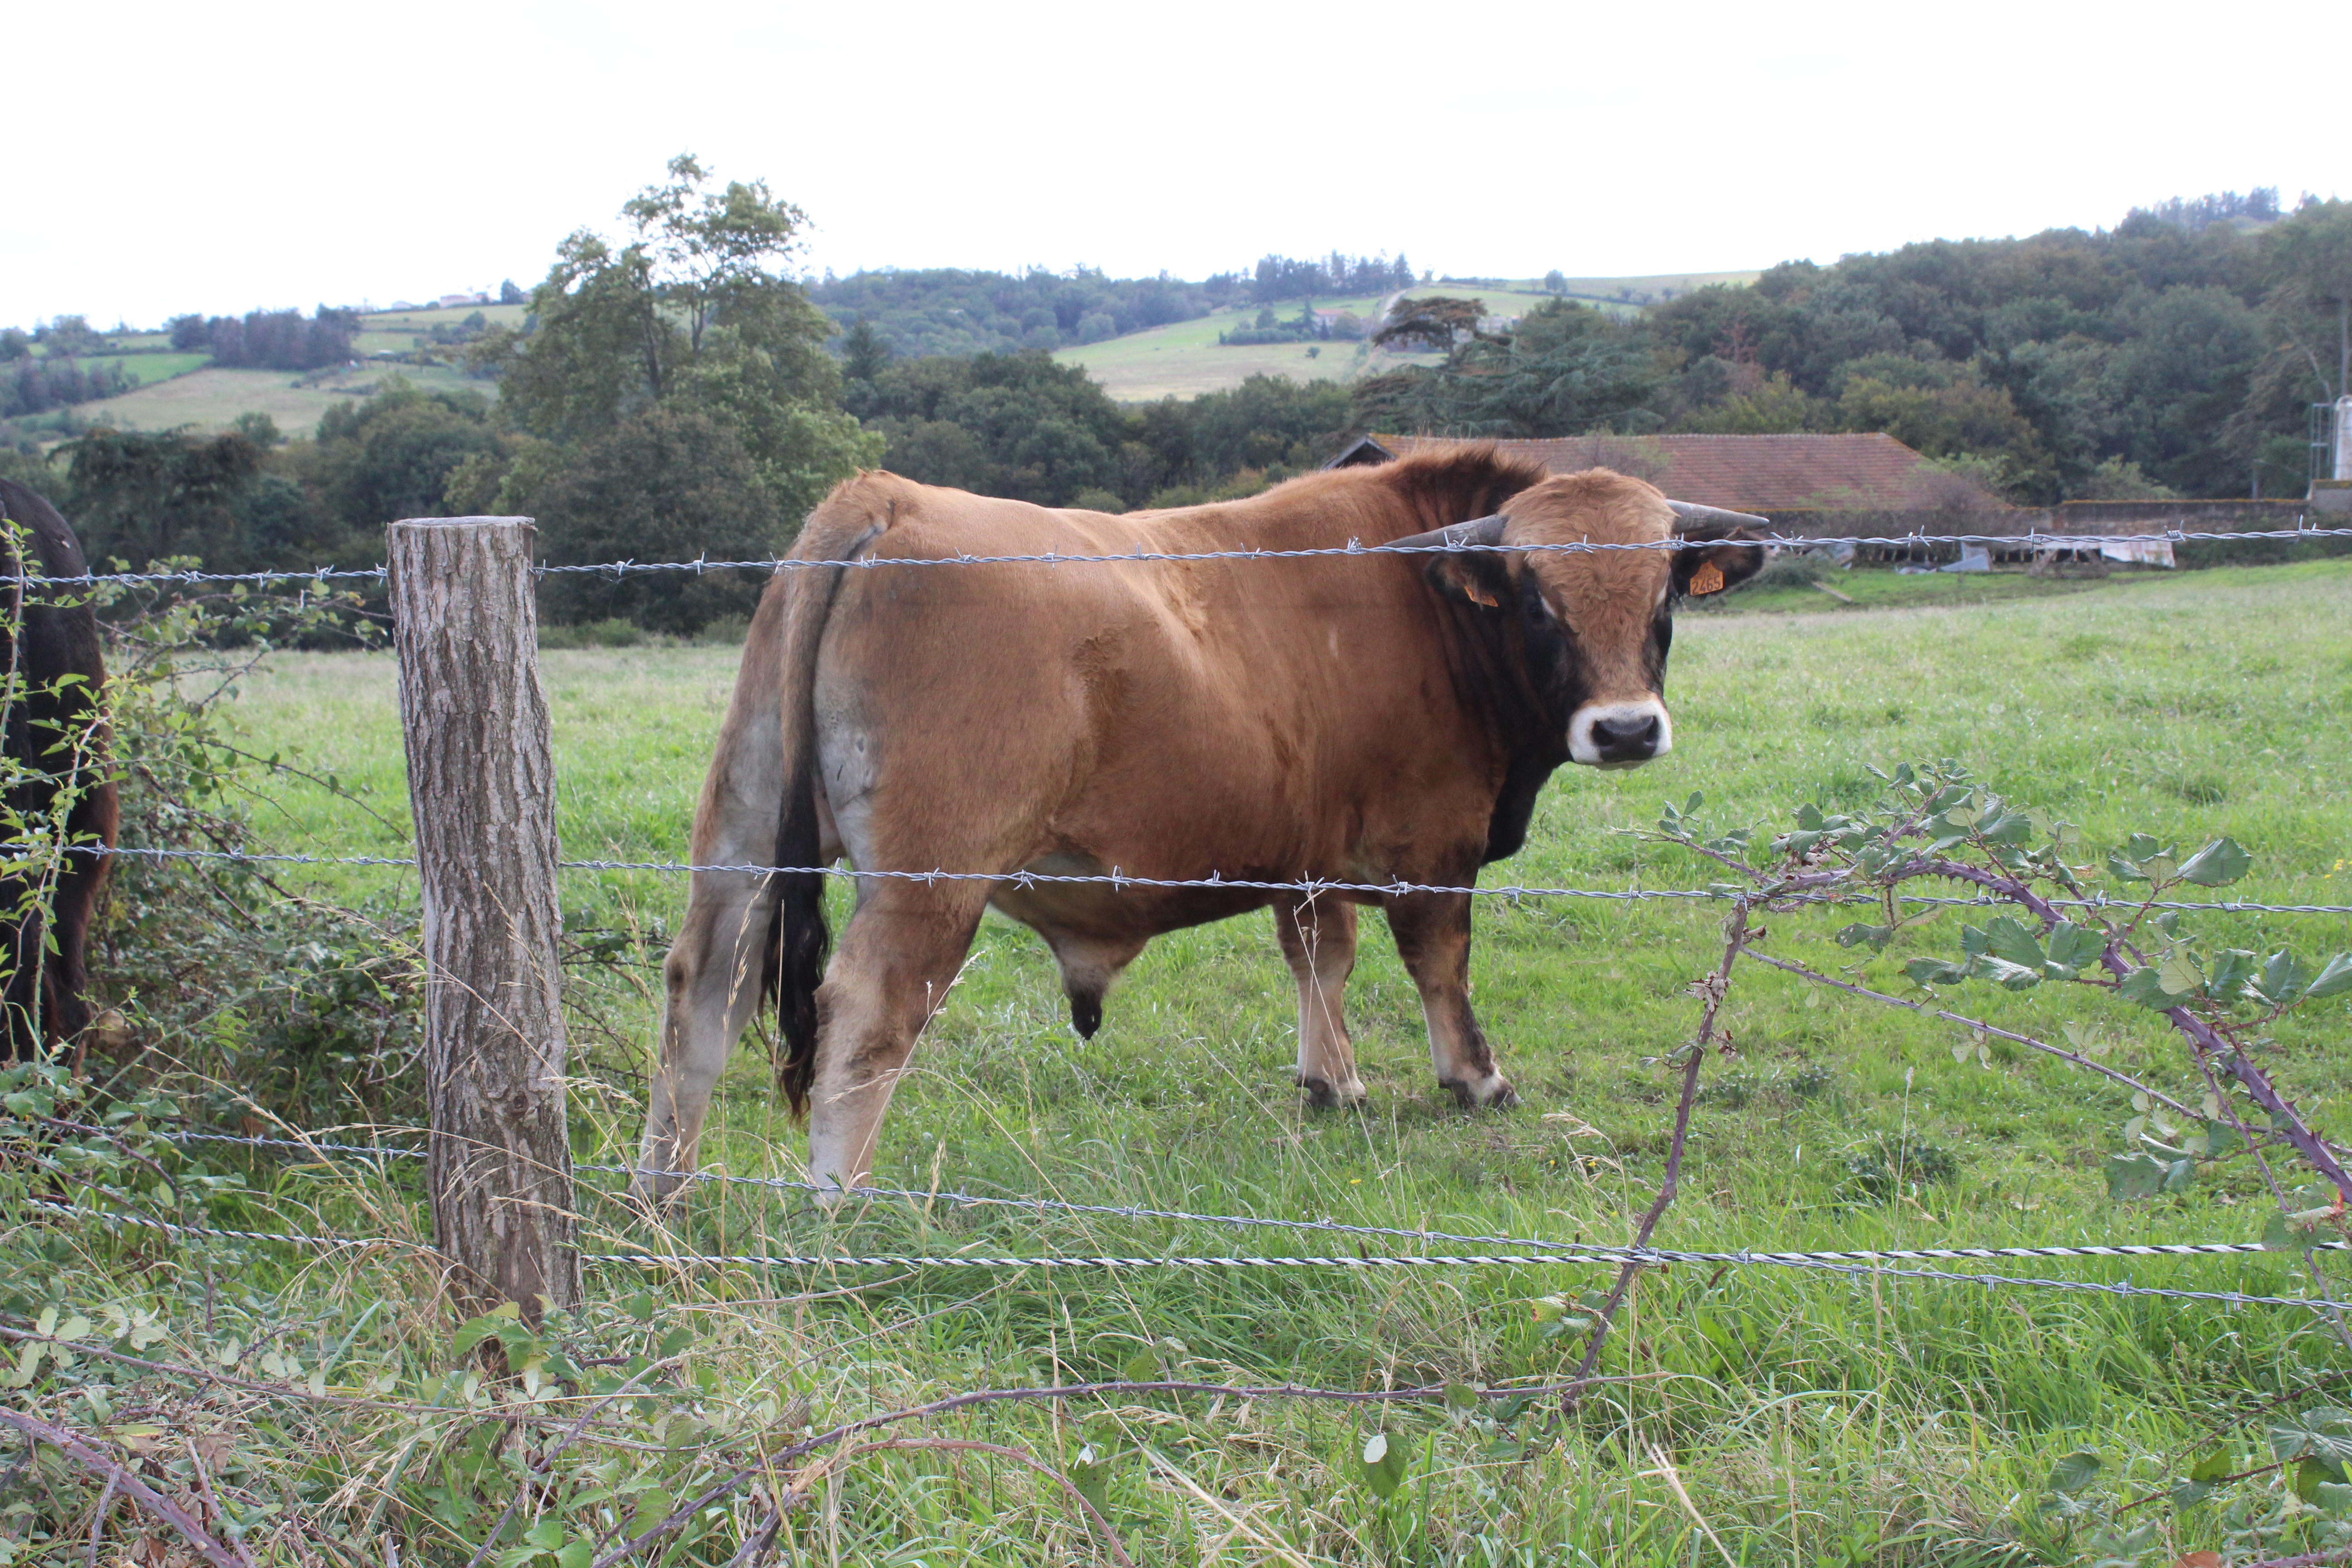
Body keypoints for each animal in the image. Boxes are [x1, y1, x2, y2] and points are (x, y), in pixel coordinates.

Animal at [635, 446, 1759, 1213]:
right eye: (1537, 602)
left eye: (1663, 593)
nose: (1626, 729)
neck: (1421, 598)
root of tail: (885, 498)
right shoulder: (1432, 847)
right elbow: (1439, 964)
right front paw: (1475, 1078)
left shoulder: (1310, 857)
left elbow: (1320, 958)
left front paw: (1329, 1079)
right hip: (929, 885)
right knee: (867, 1016)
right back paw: (842, 1205)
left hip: (742, 843)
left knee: (705, 991)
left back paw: (664, 1193)